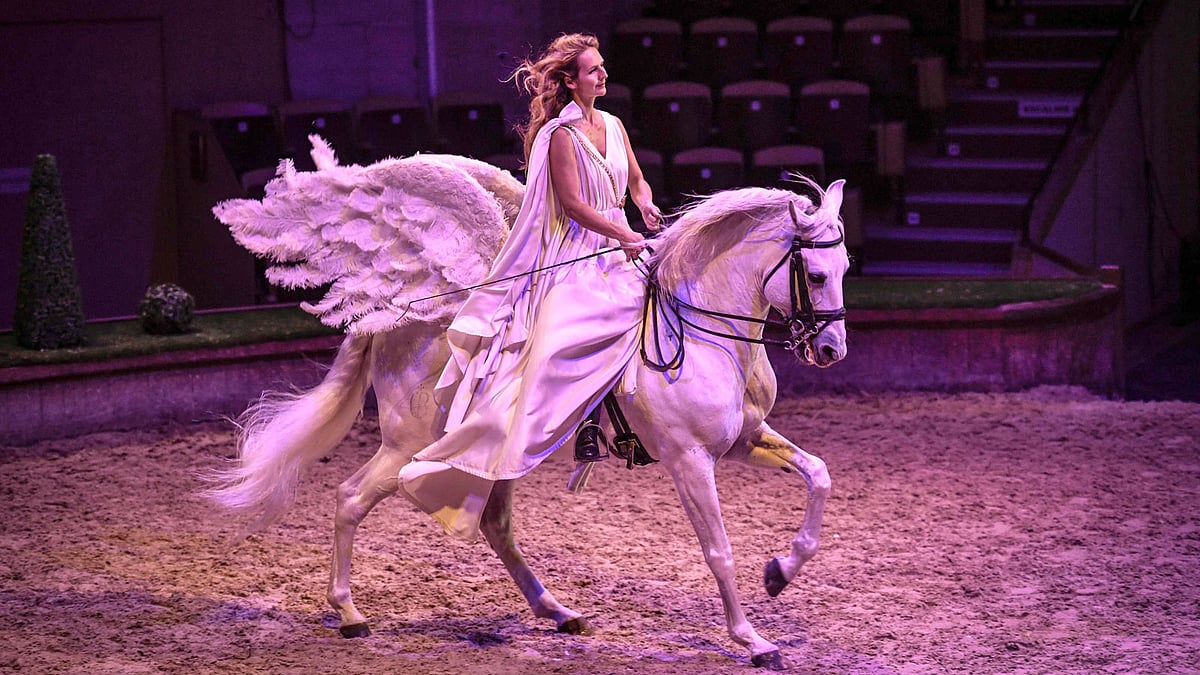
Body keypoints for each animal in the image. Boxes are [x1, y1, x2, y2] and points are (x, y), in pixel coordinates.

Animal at [206, 161, 848, 669]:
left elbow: (819, 474)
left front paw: (781, 571)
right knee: (349, 498)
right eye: (816, 275)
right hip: (409, 446)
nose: (830, 351)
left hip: (487, 454)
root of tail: (393, 318)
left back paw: (558, 611)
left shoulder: (744, 438)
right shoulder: (688, 458)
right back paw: (349, 614)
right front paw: (753, 640)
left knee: (494, 525)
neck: (699, 328)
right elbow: (718, 549)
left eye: (845, 268)